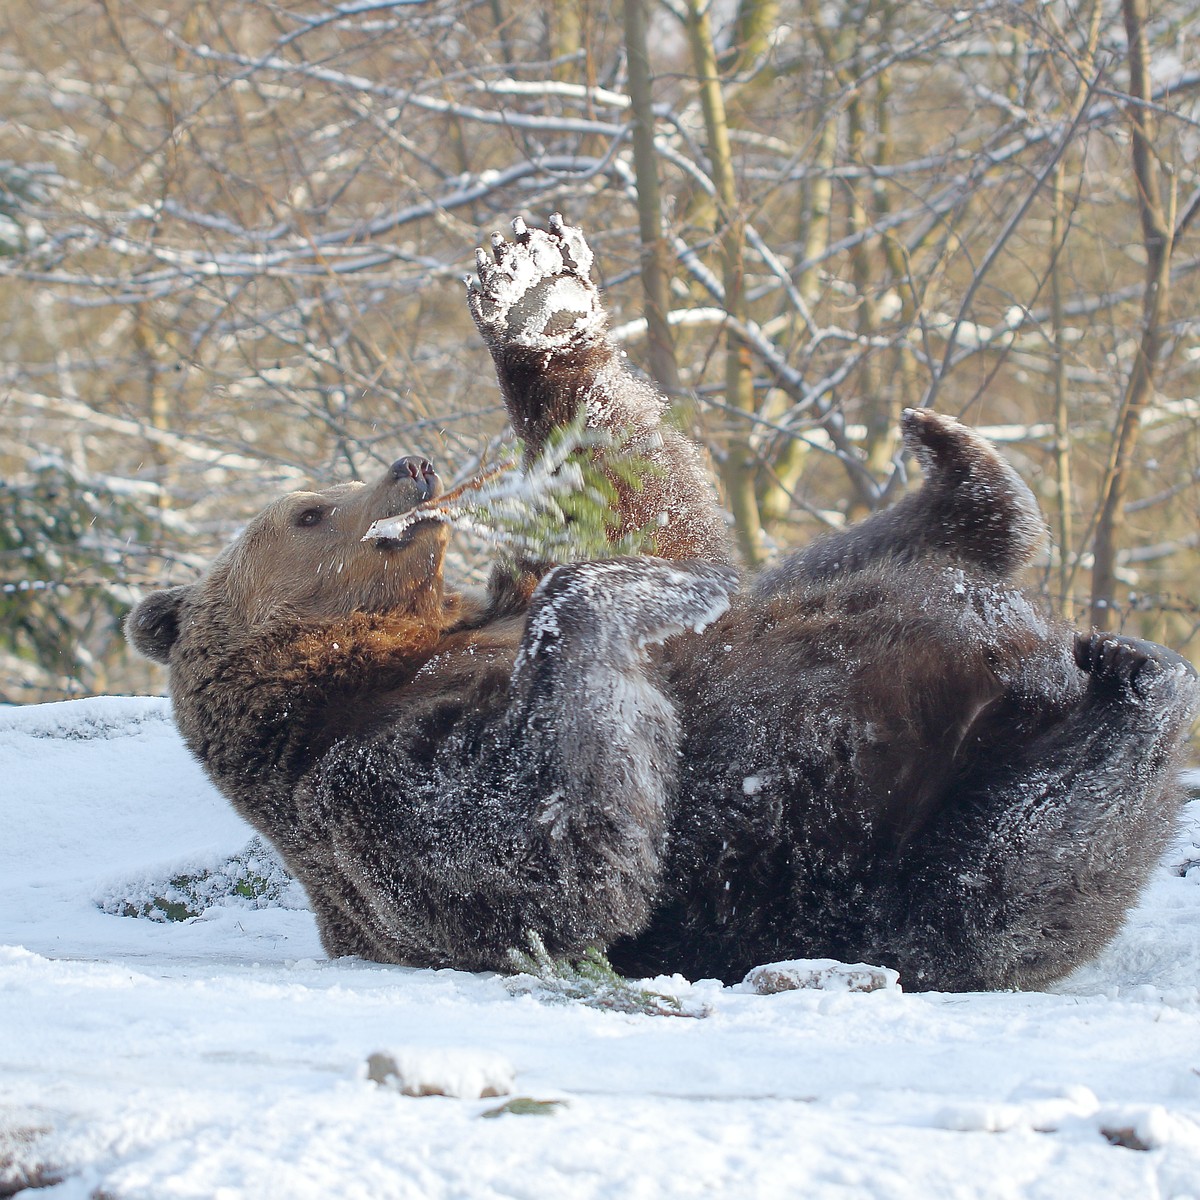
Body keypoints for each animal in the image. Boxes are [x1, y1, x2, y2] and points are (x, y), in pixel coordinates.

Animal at [126, 220, 1195, 988]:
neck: (370, 660)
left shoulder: (482, 623)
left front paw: (533, 293)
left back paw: (964, 473)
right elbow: (559, 865)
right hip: (914, 822)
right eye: (309, 511)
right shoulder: (371, 787)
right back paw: (1137, 682)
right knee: (1014, 869)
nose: (410, 465)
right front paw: (614, 598)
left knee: (858, 567)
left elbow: (651, 515)